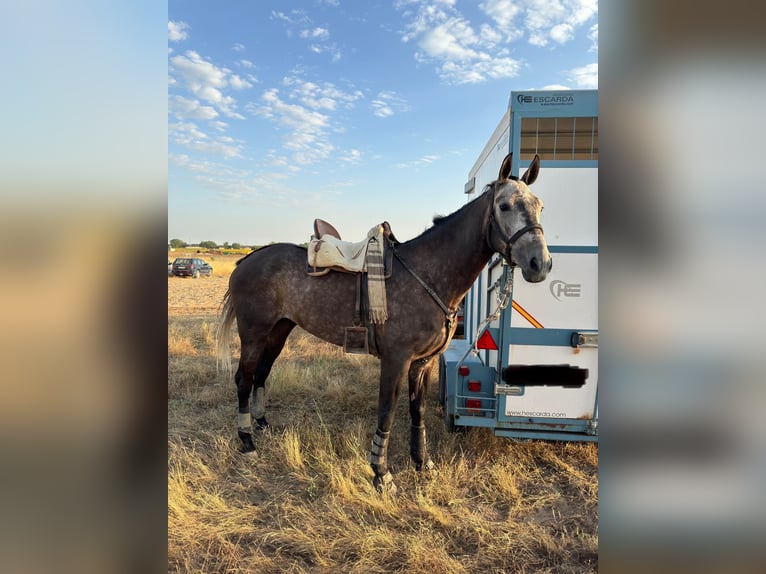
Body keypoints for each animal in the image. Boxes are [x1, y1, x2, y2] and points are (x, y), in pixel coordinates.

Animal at [216, 154, 552, 496]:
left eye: (540, 206)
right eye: (504, 206)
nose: (540, 264)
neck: (427, 274)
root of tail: (245, 261)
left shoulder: (422, 363)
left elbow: (417, 412)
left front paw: (422, 463)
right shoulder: (396, 360)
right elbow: (387, 413)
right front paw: (381, 474)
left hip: (279, 331)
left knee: (260, 374)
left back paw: (261, 424)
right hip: (254, 334)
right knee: (243, 379)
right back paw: (247, 441)